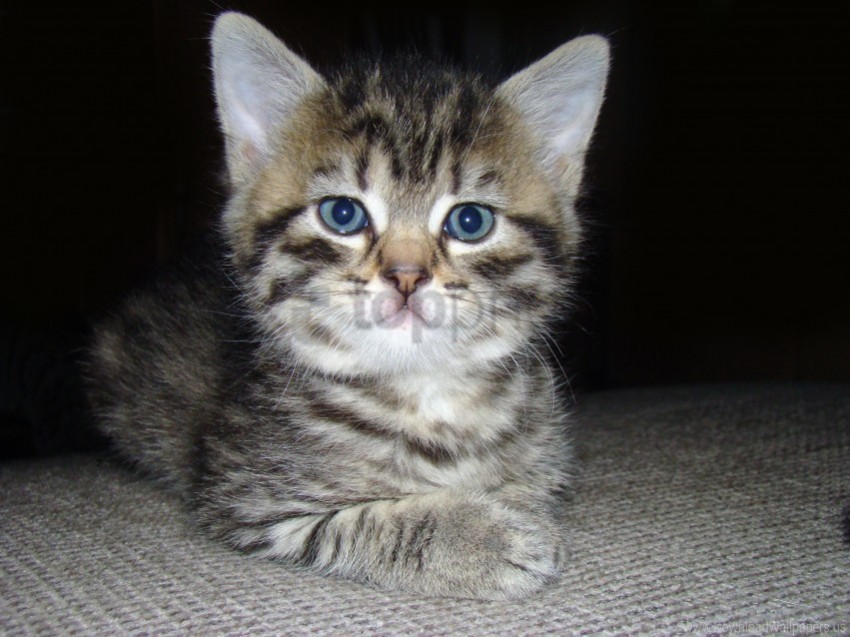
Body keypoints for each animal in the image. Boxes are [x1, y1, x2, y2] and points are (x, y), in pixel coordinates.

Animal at [86, 9, 608, 600]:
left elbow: (529, 481)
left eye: (470, 221)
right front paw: (484, 537)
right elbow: (372, 519)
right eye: (342, 214)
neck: (426, 396)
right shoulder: (248, 495)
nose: (407, 276)